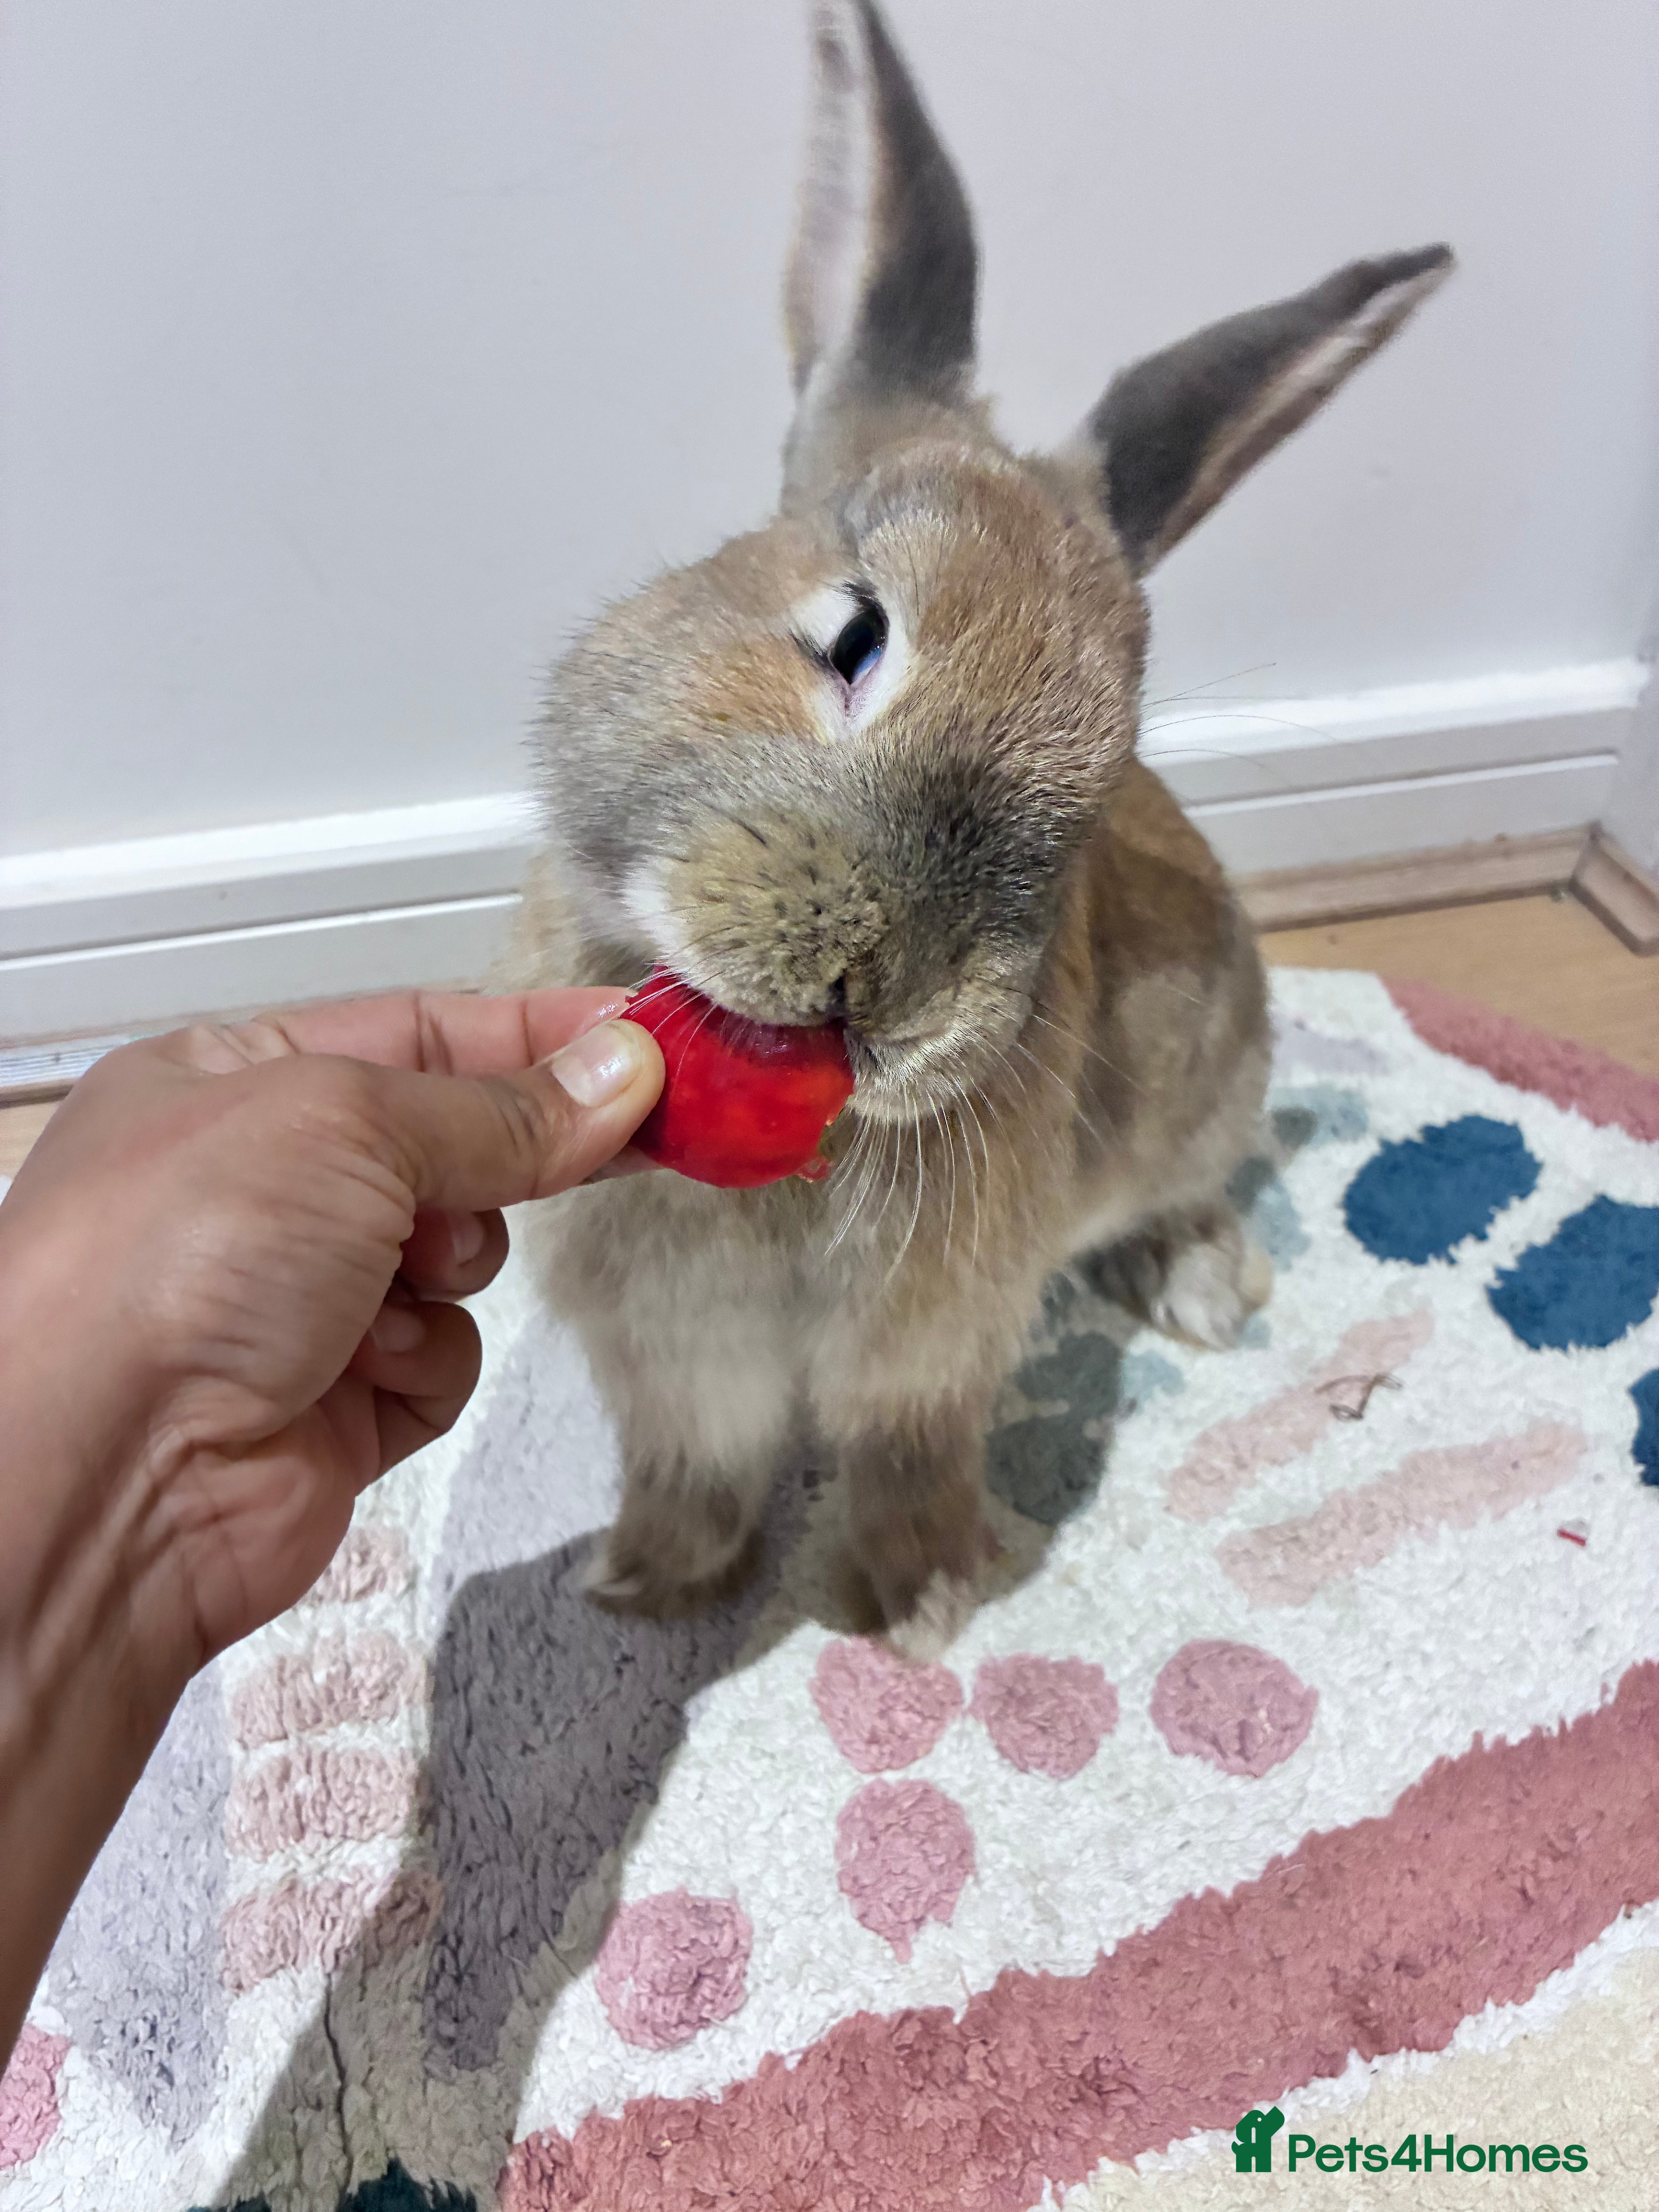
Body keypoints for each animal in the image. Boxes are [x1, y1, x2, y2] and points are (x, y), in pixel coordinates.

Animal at [498, 0, 1451, 1655]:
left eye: (1105, 776)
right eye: (855, 635)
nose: (885, 996)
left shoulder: (930, 1343)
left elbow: (908, 1452)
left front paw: (930, 1602)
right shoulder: (673, 1360)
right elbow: (693, 1462)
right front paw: (648, 1583)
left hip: (1210, 1079)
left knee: (1191, 1182)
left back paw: (1201, 1279)